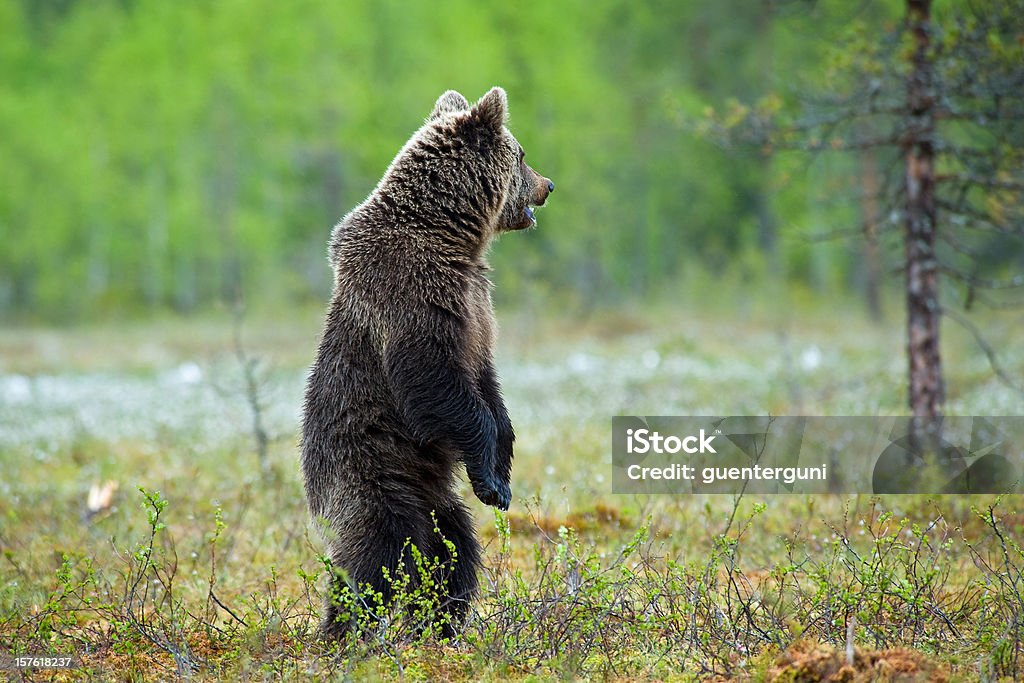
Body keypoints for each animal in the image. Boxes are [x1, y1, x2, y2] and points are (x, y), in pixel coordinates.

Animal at [299, 87, 557, 643]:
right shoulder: (415, 296)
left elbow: (487, 383)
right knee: (378, 552)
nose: (549, 185)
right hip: (372, 472)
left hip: (433, 492)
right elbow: (434, 378)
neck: (452, 237)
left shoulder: (476, 305)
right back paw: (347, 631)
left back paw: (439, 623)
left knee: (453, 548)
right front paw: (492, 483)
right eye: (522, 153)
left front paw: (501, 471)